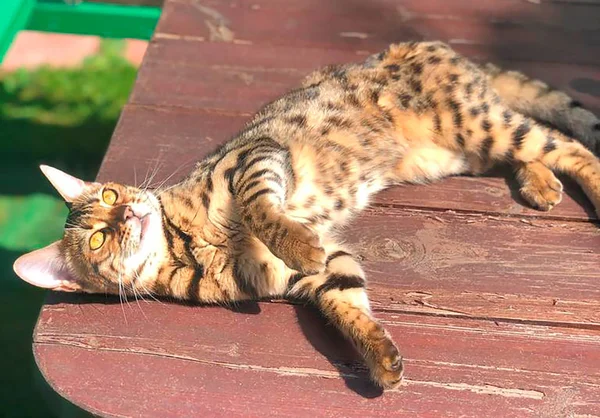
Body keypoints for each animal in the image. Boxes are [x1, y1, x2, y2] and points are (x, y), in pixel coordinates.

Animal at [14, 40, 600, 390]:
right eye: (96, 240)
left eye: (111, 196)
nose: (127, 214)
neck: (184, 242)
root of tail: (427, 45)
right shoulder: (311, 275)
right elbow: (346, 303)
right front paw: (381, 358)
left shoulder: (253, 159)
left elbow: (265, 211)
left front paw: (295, 238)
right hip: (458, 153)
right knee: (532, 150)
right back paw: (538, 183)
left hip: (477, 124)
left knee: (567, 143)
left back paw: (578, 184)